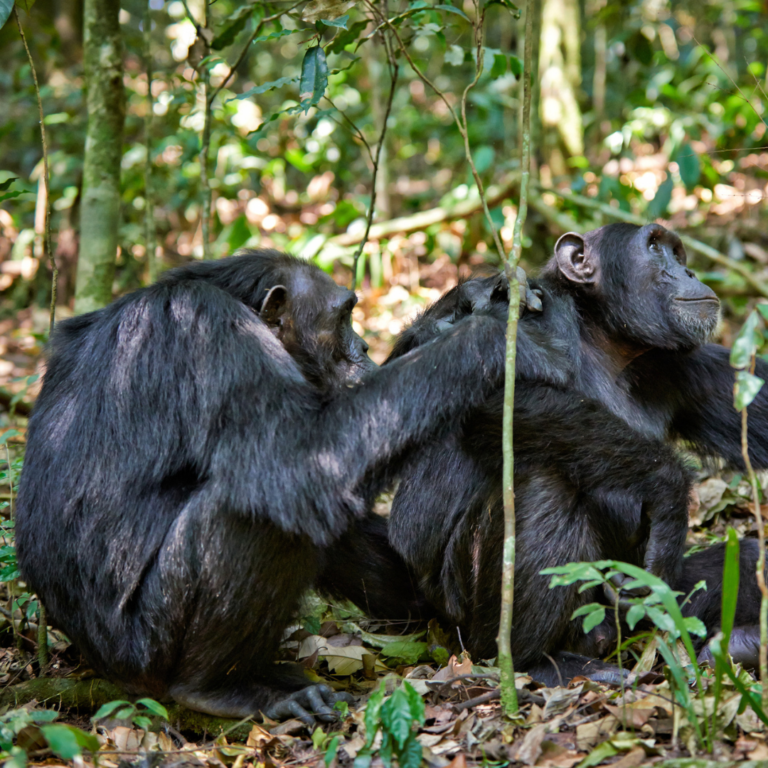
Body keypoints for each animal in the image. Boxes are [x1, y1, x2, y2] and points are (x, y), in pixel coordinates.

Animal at [16, 249, 510, 724]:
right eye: (343, 317)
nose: (365, 344)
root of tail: (100, 666)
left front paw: (464, 304)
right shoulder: (208, 328)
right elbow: (298, 455)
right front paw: (490, 335)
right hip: (145, 650)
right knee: (259, 506)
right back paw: (218, 688)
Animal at [388, 222, 768, 684]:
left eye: (676, 252)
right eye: (655, 247)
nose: (689, 270)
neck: (604, 340)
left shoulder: (687, 365)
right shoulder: (534, 315)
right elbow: (497, 391)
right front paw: (671, 493)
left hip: (646, 607)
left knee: (744, 561)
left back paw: (739, 644)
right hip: (467, 614)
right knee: (547, 486)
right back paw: (539, 662)